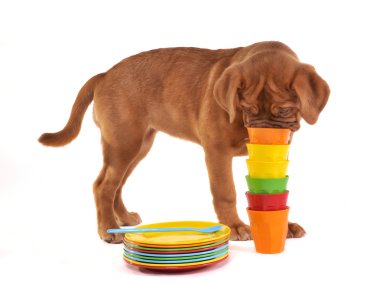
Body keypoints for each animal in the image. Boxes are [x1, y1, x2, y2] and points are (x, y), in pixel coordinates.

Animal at [39, 41, 330, 243]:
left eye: (284, 110)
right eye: (246, 108)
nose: (262, 137)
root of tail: (104, 74)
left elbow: (271, 194)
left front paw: (284, 225)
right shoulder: (216, 152)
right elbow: (225, 192)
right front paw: (235, 226)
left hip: (138, 145)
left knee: (116, 185)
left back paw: (122, 219)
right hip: (124, 143)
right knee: (103, 185)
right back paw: (107, 230)